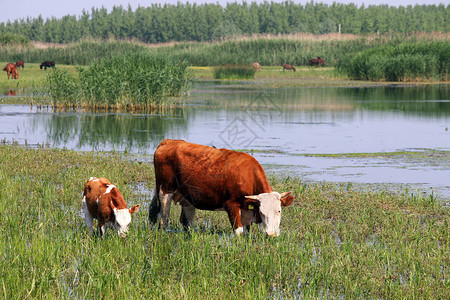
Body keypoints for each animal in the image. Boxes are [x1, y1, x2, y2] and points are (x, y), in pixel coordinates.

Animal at [149, 139, 294, 237]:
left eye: (279, 211)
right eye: (262, 212)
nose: (271, 234)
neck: (247, 175)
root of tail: (168, 141)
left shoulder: (246, 207)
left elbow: (247, 231)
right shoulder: (231, 205)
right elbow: (239, 231)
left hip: (187, 197)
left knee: (187, 221)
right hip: (164, 191)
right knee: (163, 218)